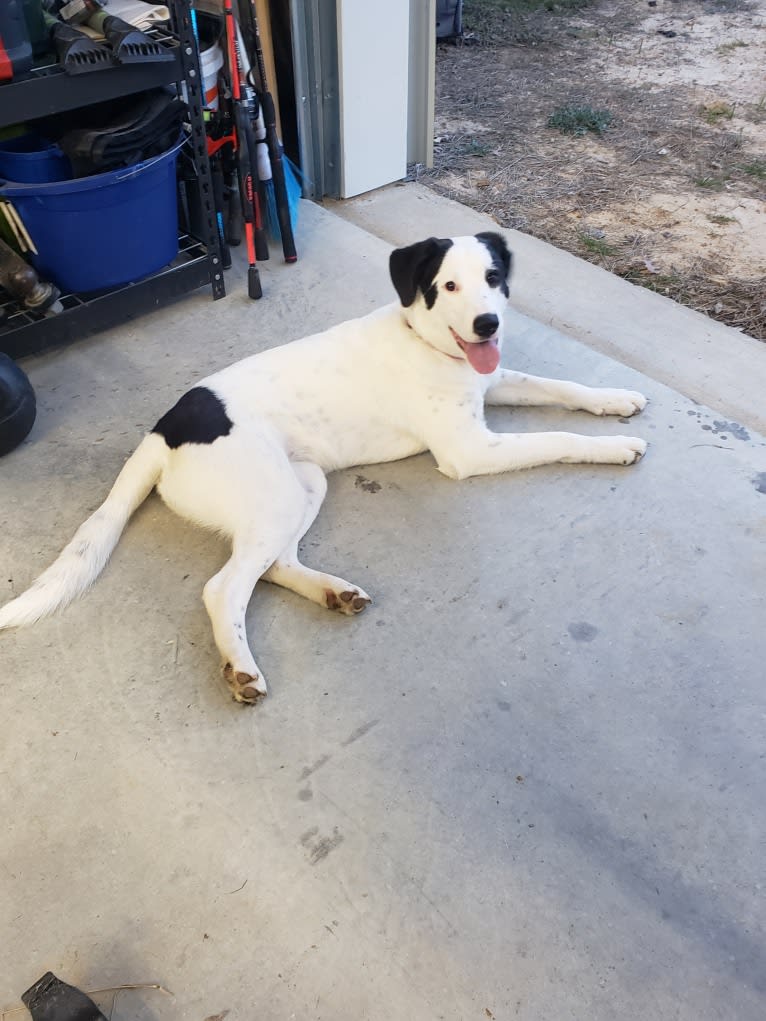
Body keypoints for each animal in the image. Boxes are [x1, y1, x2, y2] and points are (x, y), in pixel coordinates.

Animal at [0, 234, 649, 706]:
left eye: (493, 278)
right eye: (448, 285)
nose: (488, 324)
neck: (424, 338)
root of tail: (164, 430)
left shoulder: (494, 385)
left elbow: (562, 389)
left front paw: (616, 399)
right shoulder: (470, 449)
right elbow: (557, 436)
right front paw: (616, 447)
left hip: (303, 485)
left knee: (272, 565)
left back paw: (332, 592)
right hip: (274, 497)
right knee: (224, 587)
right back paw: (242, 668)